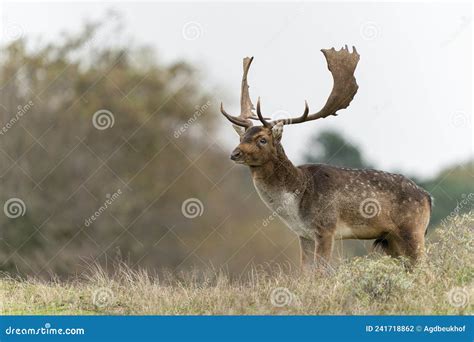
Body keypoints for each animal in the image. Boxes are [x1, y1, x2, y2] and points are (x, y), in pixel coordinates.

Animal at [220, 46, 432, 268]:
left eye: (262, 139)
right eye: (242, 136)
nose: (235, 153)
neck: (296, 202)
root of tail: (428, 197)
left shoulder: (326, 227)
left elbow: (321, 270)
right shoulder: (303, 234)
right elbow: (306, 271)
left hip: (413, 230)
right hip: (390, 239)